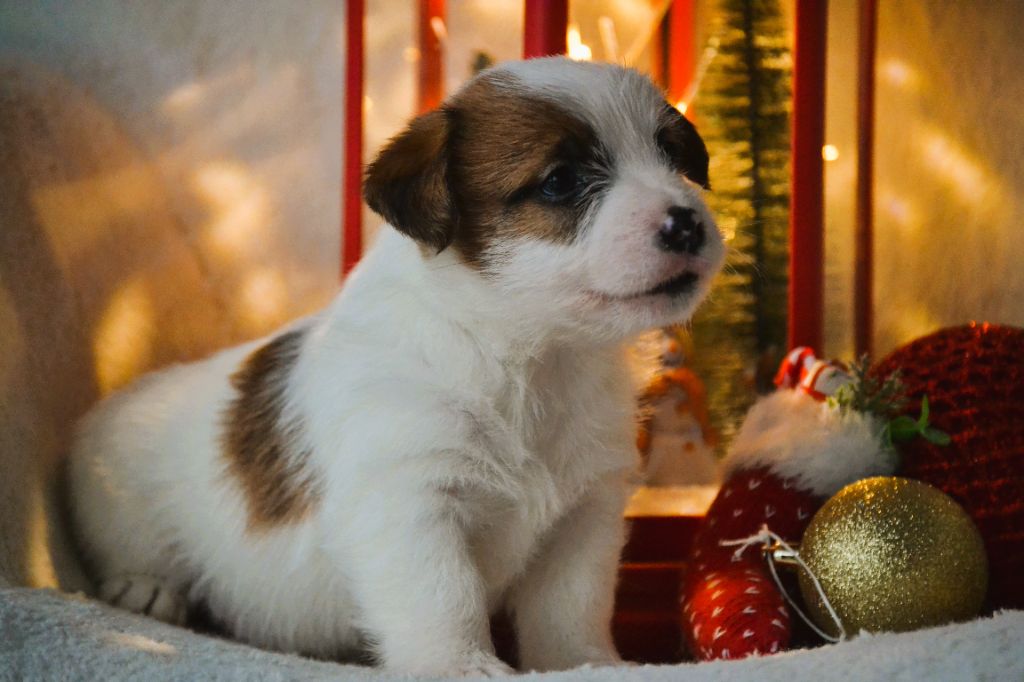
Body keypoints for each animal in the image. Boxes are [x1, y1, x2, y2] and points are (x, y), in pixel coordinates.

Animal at [68, 58, 724, 675]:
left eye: (671, 155)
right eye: (560, 181)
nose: (687, 222)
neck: (527, 355)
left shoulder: (584, 516)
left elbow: (573, 606)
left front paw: (584, 663)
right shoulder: (410, 501)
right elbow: (442, 597)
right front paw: (460, 666)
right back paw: (143, 588)